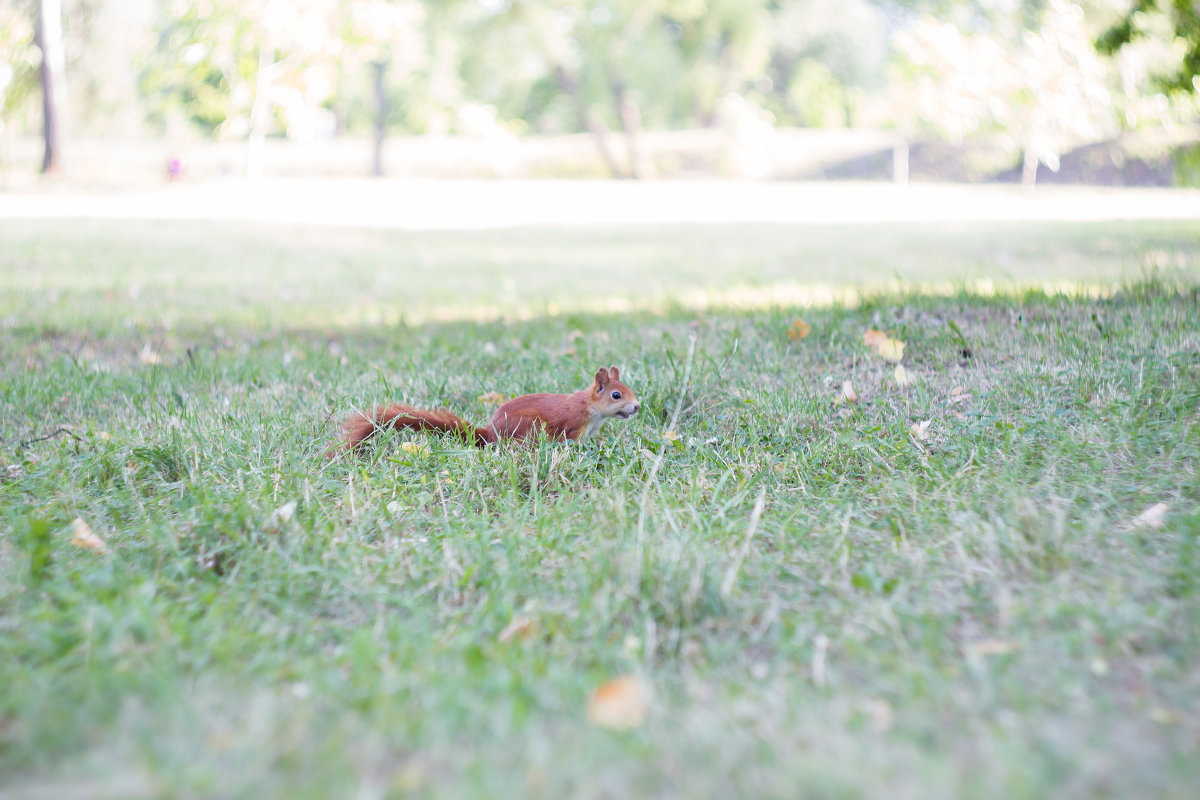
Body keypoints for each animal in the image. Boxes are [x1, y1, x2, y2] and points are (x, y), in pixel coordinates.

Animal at [331, 364, 638, 453]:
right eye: (616, 394)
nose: (636, 407)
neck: (592, 410)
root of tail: (489, 433)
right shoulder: (573, 424)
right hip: (529, 427)